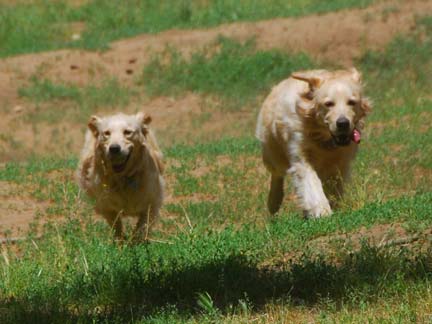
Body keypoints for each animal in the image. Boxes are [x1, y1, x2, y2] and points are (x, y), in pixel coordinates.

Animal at [256, 67, 372, 218]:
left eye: (351, 102)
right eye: (328, 104)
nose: (343, 123)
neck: (323, 139)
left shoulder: (340, 163)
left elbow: (334, 187)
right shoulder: (300, 158)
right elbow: (312, 183)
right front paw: (322, 211)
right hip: (274, 153)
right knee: (277, 174)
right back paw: (274, 201)